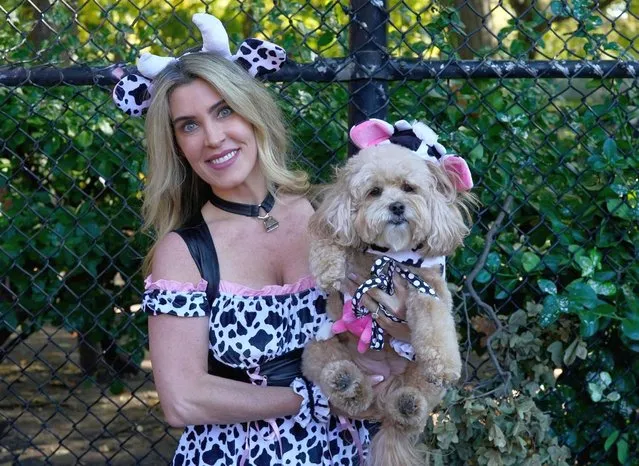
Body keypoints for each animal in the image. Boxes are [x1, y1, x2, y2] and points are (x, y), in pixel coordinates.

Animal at [302, 137, 476, 464]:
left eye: (409, 188)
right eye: (374, 192)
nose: (396, 206)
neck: (390, 256)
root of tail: (381, 403)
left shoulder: (428, 290)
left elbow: (435, 325)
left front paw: (444, 363)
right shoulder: (339, 230)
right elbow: (328, 239)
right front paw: (328, 269)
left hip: (423, 380)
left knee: (410, 414)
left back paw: (407, 405)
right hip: (316, 350)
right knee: (347, 391)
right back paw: (347, 383)